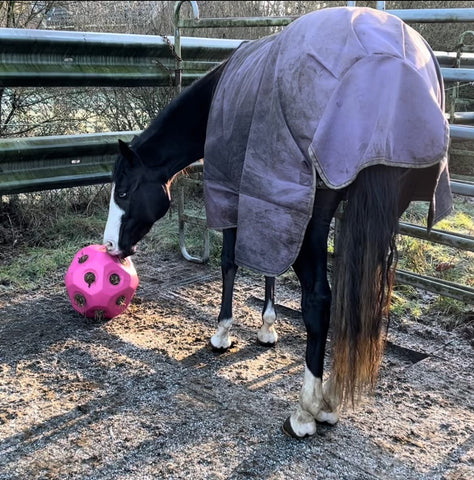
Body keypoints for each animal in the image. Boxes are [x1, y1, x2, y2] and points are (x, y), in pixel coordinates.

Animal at [103, 6, 452, 438]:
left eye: (124, 191)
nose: (110, 247)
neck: (218, 97)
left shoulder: (237, 192)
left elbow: (230, 262)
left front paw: (222, 333)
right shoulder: (268, 199)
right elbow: (268, 268)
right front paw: (267, 328)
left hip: (311, 220)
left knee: (319, 301)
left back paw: (307, 411)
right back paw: (330, 400)